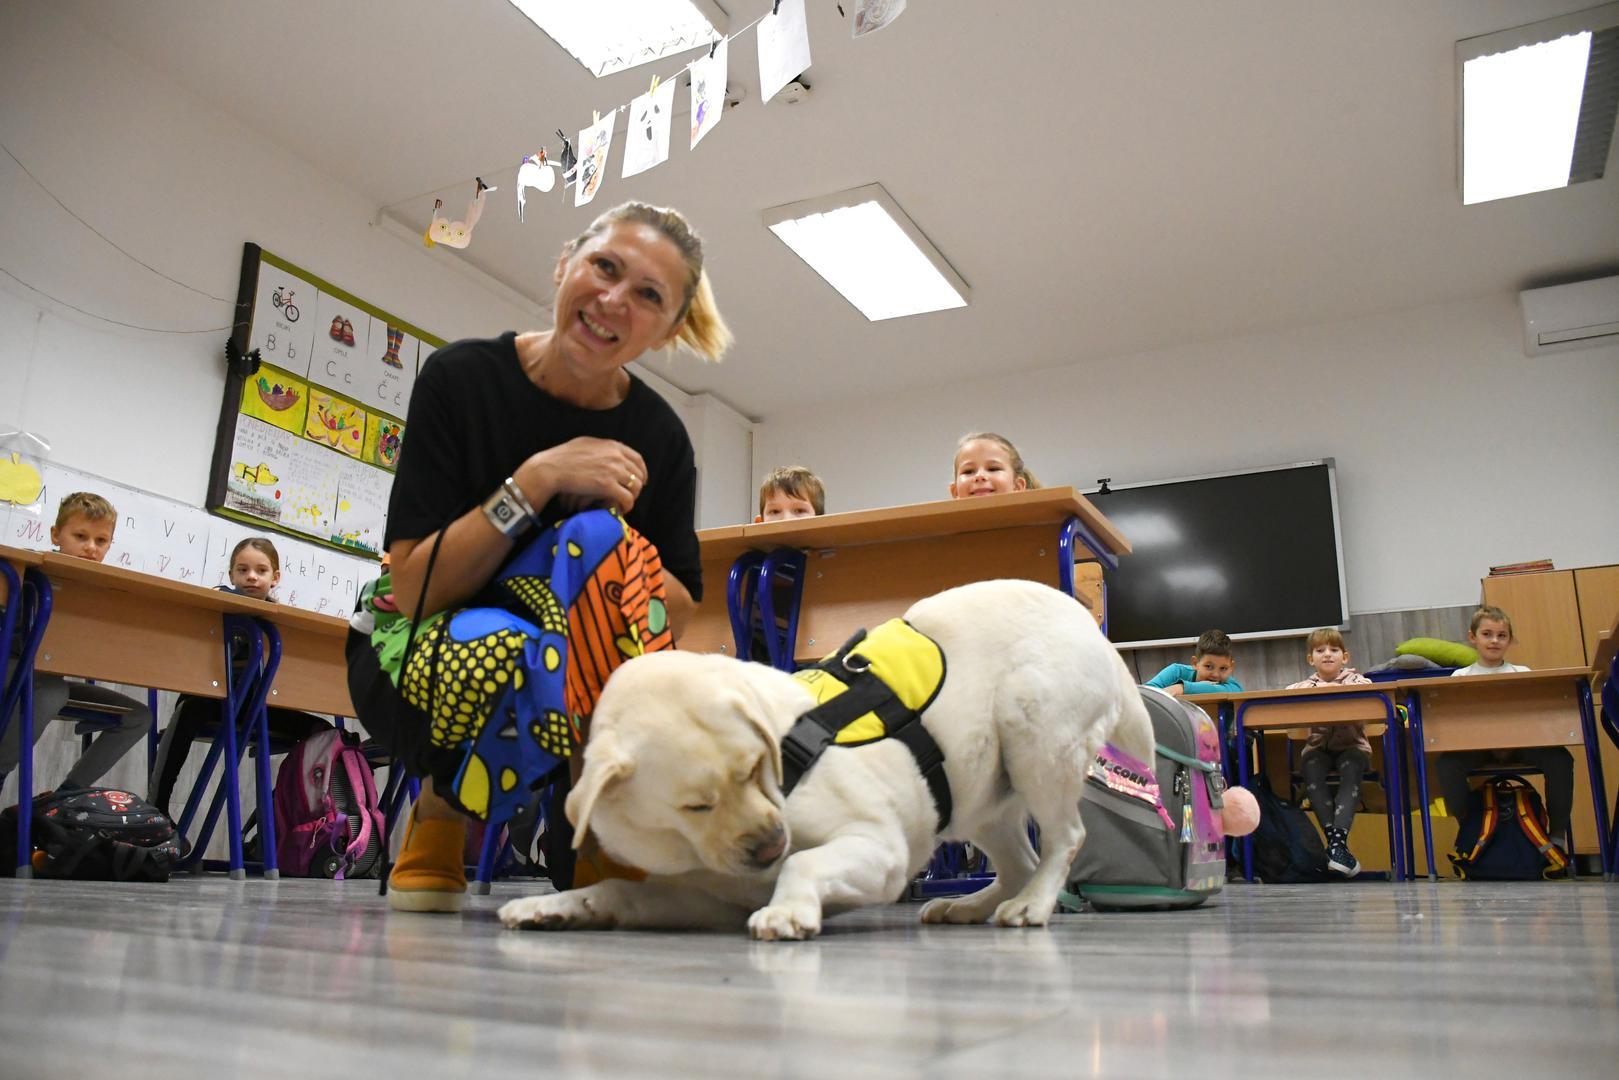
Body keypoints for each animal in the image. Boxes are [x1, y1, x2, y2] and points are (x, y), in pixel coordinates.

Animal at [495, 579, 1152, 939]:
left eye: (757, 769)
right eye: (695, 806)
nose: (769, 844)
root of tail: (1084, 620)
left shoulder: (880, 851)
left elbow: (804, 865)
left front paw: (787, 909)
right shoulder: (701, 893)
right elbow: (614, 891)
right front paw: (552, 905)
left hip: (1032, 733)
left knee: (1064, 838)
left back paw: (1032, 905)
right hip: (976, 796)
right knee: (1019, 860)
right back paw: (970, 906)